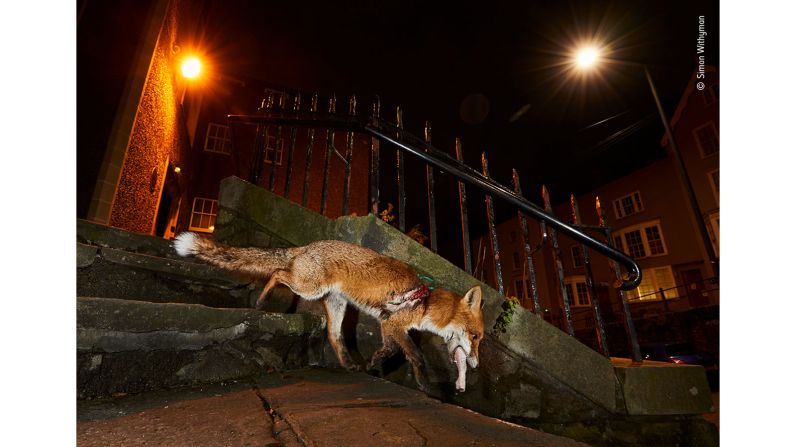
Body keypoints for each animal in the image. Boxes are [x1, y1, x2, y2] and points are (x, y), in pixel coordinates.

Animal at [175, 233, 486, 394]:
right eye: (475, 337)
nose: (476, 365)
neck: (424, 302)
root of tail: (306, 246)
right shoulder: (397, 325)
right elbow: (416, 356)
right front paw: (423, 384)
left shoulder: (387, 325)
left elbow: (388, 351)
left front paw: (373, 363)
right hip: (309, 288)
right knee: (277, 273)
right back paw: (262, 300)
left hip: (336, 305)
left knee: (334, 335)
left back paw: (348, 364)